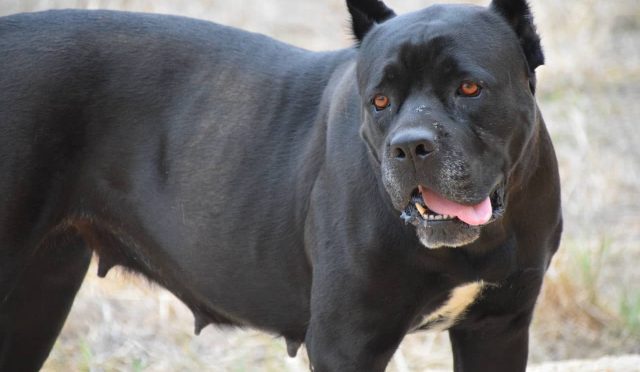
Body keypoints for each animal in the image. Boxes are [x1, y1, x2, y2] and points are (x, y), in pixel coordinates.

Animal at [0, 0, 560, 370]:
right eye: (380, 101)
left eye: (469, 87)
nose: (410, 146)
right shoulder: (346, 342)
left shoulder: (499, 329)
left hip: (39, 291)